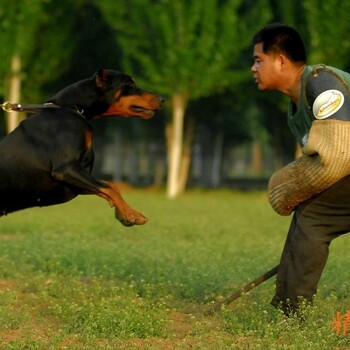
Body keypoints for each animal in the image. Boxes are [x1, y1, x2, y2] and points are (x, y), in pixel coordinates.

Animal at [0, 68, 164, 227]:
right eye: (129, 85)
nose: (162, 99)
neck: (72, 109)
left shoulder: (78, 178)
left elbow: (111, 186)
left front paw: (122, 213)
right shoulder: (66, 169)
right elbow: (109, 188)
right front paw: (131, 214)